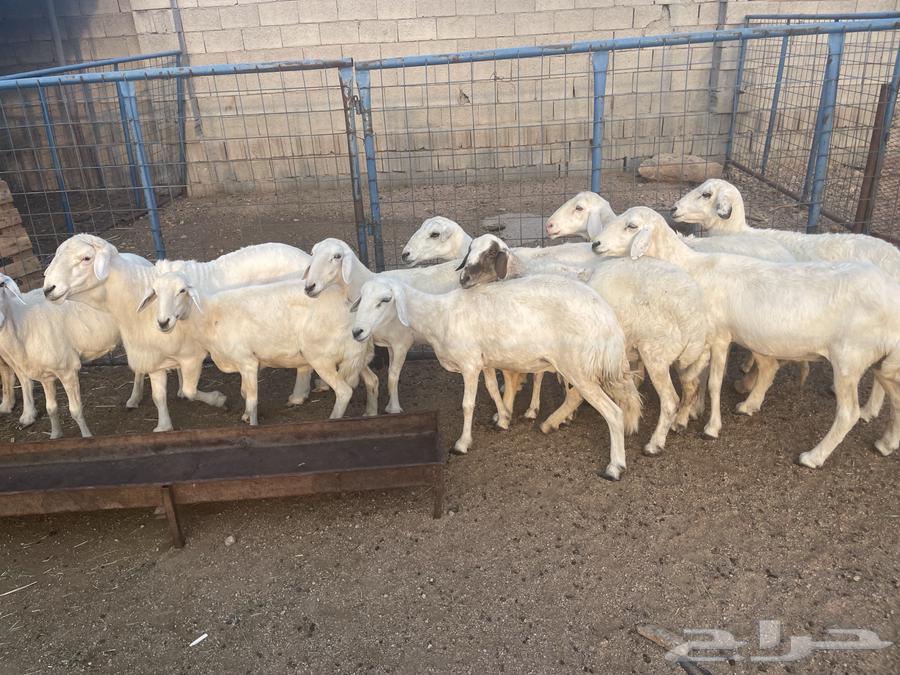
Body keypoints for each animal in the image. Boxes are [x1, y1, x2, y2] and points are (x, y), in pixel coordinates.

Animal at [43, 234, 228, 432]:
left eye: (86, 258)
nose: (48, 289)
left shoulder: (191, 355)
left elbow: (190, 390)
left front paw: (217, 399)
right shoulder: (154, 356)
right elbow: (158, 396)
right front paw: (163, 425)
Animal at [142, 271, 377, 425]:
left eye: (182, 291)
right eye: (155, 293)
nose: (163, 322)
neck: (209, 316)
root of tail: (349, 309)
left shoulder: (247, 361)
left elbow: (252, 399)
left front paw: (252, 423)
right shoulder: (247, 364)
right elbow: (245, 392)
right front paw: (244, 415)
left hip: (320, 356)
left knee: (344, 392)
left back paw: (334, 420)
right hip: (356, 356)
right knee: (372, 380)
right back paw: (371, 413)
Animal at [349, 275, 642, 480]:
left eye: (384, 300)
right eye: (361, 298)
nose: (357, 331)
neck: (440, 317)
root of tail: (608, 320)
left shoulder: (468, 363)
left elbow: (467, 404)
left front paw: (462, 443)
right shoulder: (483, 360)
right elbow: (492, 388)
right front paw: (503, 417)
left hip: (577, 364)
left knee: (613, 412)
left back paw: (614, 467)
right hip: (580, 366)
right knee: (580, 396)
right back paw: (551, 423)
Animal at [459, 234, 710, 455]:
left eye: (491, 253)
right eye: (470, 249)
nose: (463, 279)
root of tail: (697, 311)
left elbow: (521, 375)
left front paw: (511, 411)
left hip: (654, 354)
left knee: (669, 401)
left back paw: (654, 443)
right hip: (681, 356)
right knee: (691, 384)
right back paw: (680, 421)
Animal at [591, 206, 900, 468]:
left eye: (631, 226)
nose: (595, 244)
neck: (693, 267)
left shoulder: (718, 336)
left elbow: (712, 382)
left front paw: (708, 425)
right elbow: (696, 379)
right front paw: (687, 416)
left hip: (850, 359)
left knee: (847, 414)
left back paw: (814, 456)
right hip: (882, 360)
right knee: (895, 397)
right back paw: (885, 443)